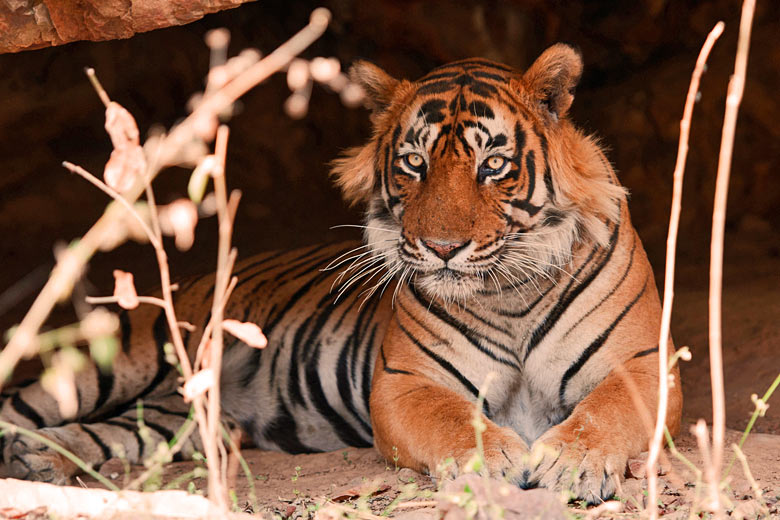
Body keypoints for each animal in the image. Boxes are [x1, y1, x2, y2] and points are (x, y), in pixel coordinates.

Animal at [0, 45, 684, 504]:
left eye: (493, 164)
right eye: (413, 163)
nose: (442, 248)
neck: (506, 293)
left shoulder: (645, 364)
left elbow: (606, 412)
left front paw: (569, 463)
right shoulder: (406, 383)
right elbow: (455, 420)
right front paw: (492, 463)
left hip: (183, 414)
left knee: (122, 435)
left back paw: (39, 461)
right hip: (119, 358)